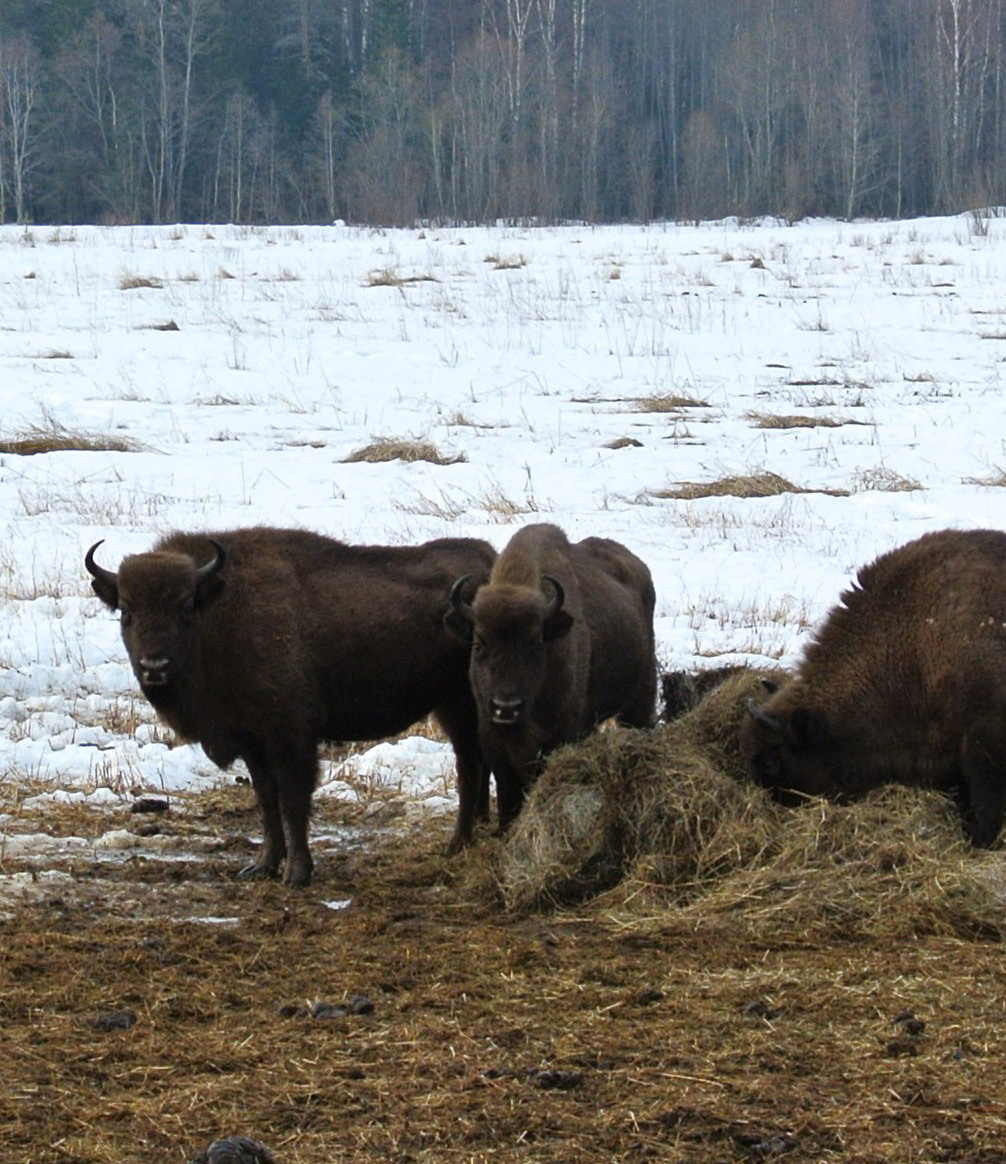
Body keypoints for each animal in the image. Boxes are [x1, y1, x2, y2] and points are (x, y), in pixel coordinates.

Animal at [85, 528, 496, 879]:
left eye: (185, 608)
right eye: (126, 611)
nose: (155, 667)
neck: (221, 614)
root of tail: (488, 563)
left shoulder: (292, 735)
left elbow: (293, 801)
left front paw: (297, 873)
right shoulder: (253, 741)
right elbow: (267, 801)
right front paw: (262, 865)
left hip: (461, 705)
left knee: (469, 767)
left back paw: (457, 844)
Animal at [447, 519, 652, 828]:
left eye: (536, 643)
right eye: (478, 644)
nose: (506, 707)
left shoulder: (561, 734)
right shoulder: (493, 738)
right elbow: (508, 795)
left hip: (640, 700)